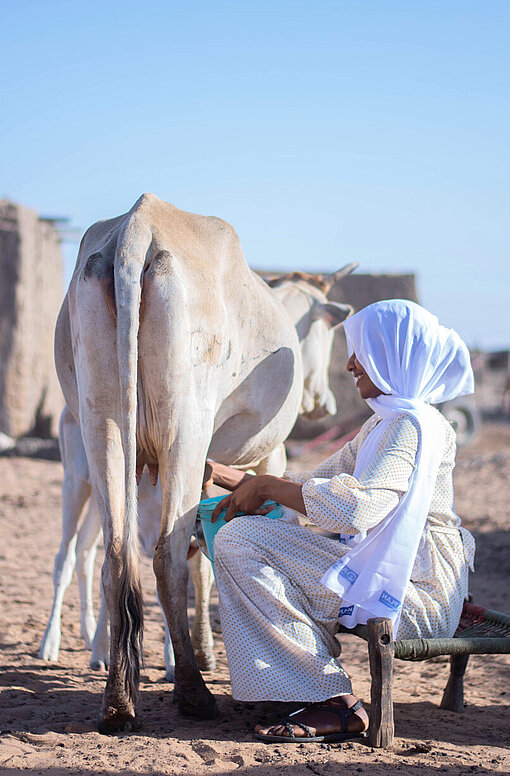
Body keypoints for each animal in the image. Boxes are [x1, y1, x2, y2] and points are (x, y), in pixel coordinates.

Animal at [53, 191, 352, 732]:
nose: (324, 402)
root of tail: (138, 228)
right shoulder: (265, 453)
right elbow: (208, 555)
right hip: (184, 430)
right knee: (166, 557)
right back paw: (192, 691)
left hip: (102, 423)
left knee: (117, 555)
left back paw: (118, 699)